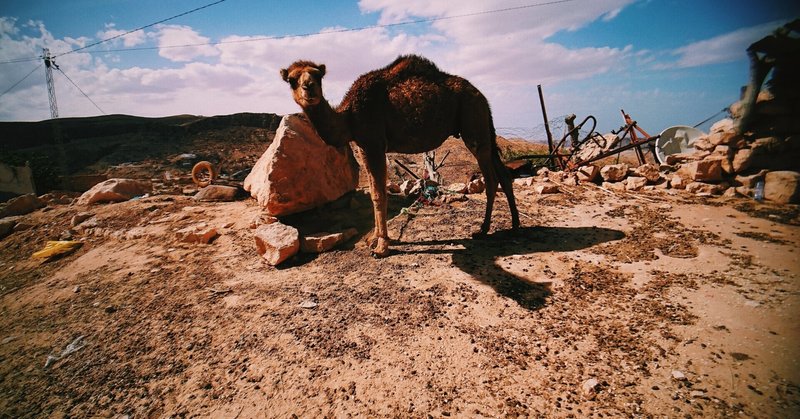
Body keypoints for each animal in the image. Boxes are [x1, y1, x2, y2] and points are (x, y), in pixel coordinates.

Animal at [282, 53, 520, 256]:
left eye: (318, 75)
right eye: (292, 79)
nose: (309, 88)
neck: (349, 117)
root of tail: (482, 96)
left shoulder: (373, 143)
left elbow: (379, 194)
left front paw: (381, 247)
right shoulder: (363, 147)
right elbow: (375, 192)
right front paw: (373, 240)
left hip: (473, 121)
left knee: (491, 178)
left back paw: (483, 229)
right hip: (483, 126)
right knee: (503, 174)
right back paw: (515, 226)